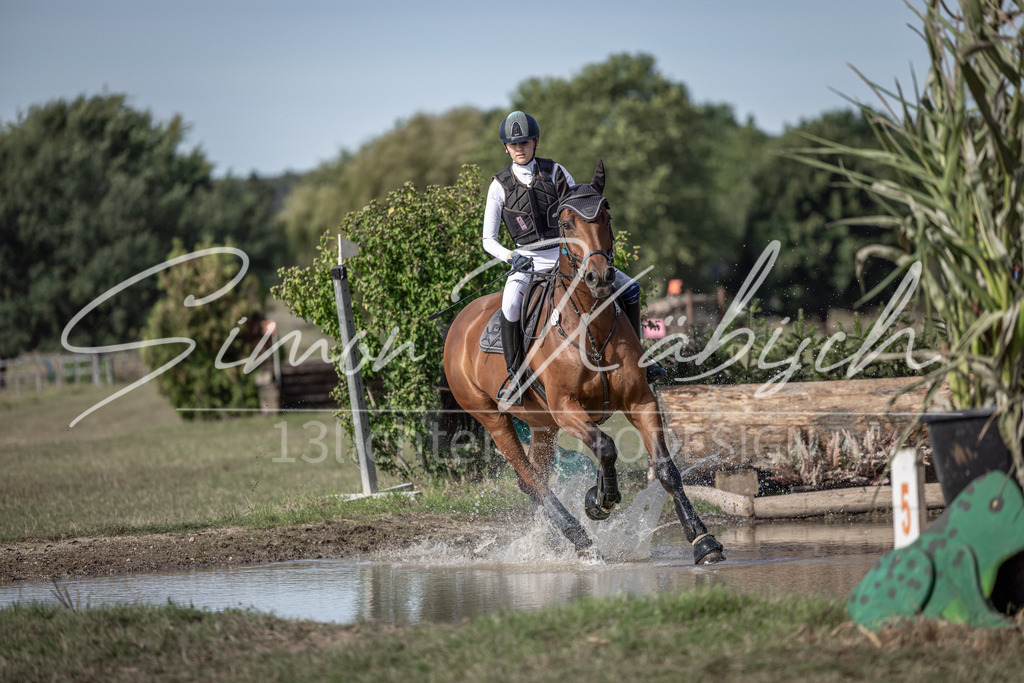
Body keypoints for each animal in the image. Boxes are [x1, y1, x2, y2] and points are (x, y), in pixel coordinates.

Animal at [443, 161, 724, 564]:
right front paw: (600, 502)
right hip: (494, 419)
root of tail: (458, 324)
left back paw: (550, 541)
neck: (590, 323)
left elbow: (666, 468)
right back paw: (578, 537)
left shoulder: (640, 401)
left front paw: (703, 540)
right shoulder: (566, 407)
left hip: (542, 426)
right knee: (530, 479)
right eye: (565, 221)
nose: (600, 276)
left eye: (606, 214)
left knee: (537, 478)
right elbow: (606, 446)